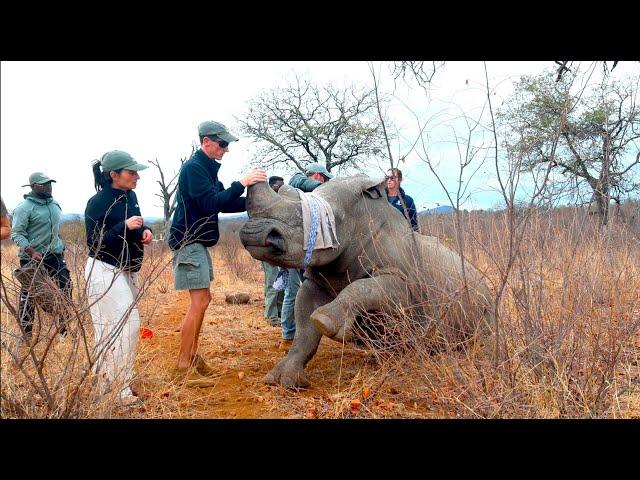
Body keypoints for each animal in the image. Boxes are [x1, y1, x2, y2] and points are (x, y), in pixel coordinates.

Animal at [238, 174, 492, 388]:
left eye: (321, 220)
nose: (255, 235)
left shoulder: (404, 285)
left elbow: (363, 288)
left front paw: (324, 321)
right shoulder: (317, 279)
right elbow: (304, 329)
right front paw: (284, 380)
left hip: (482, 295)